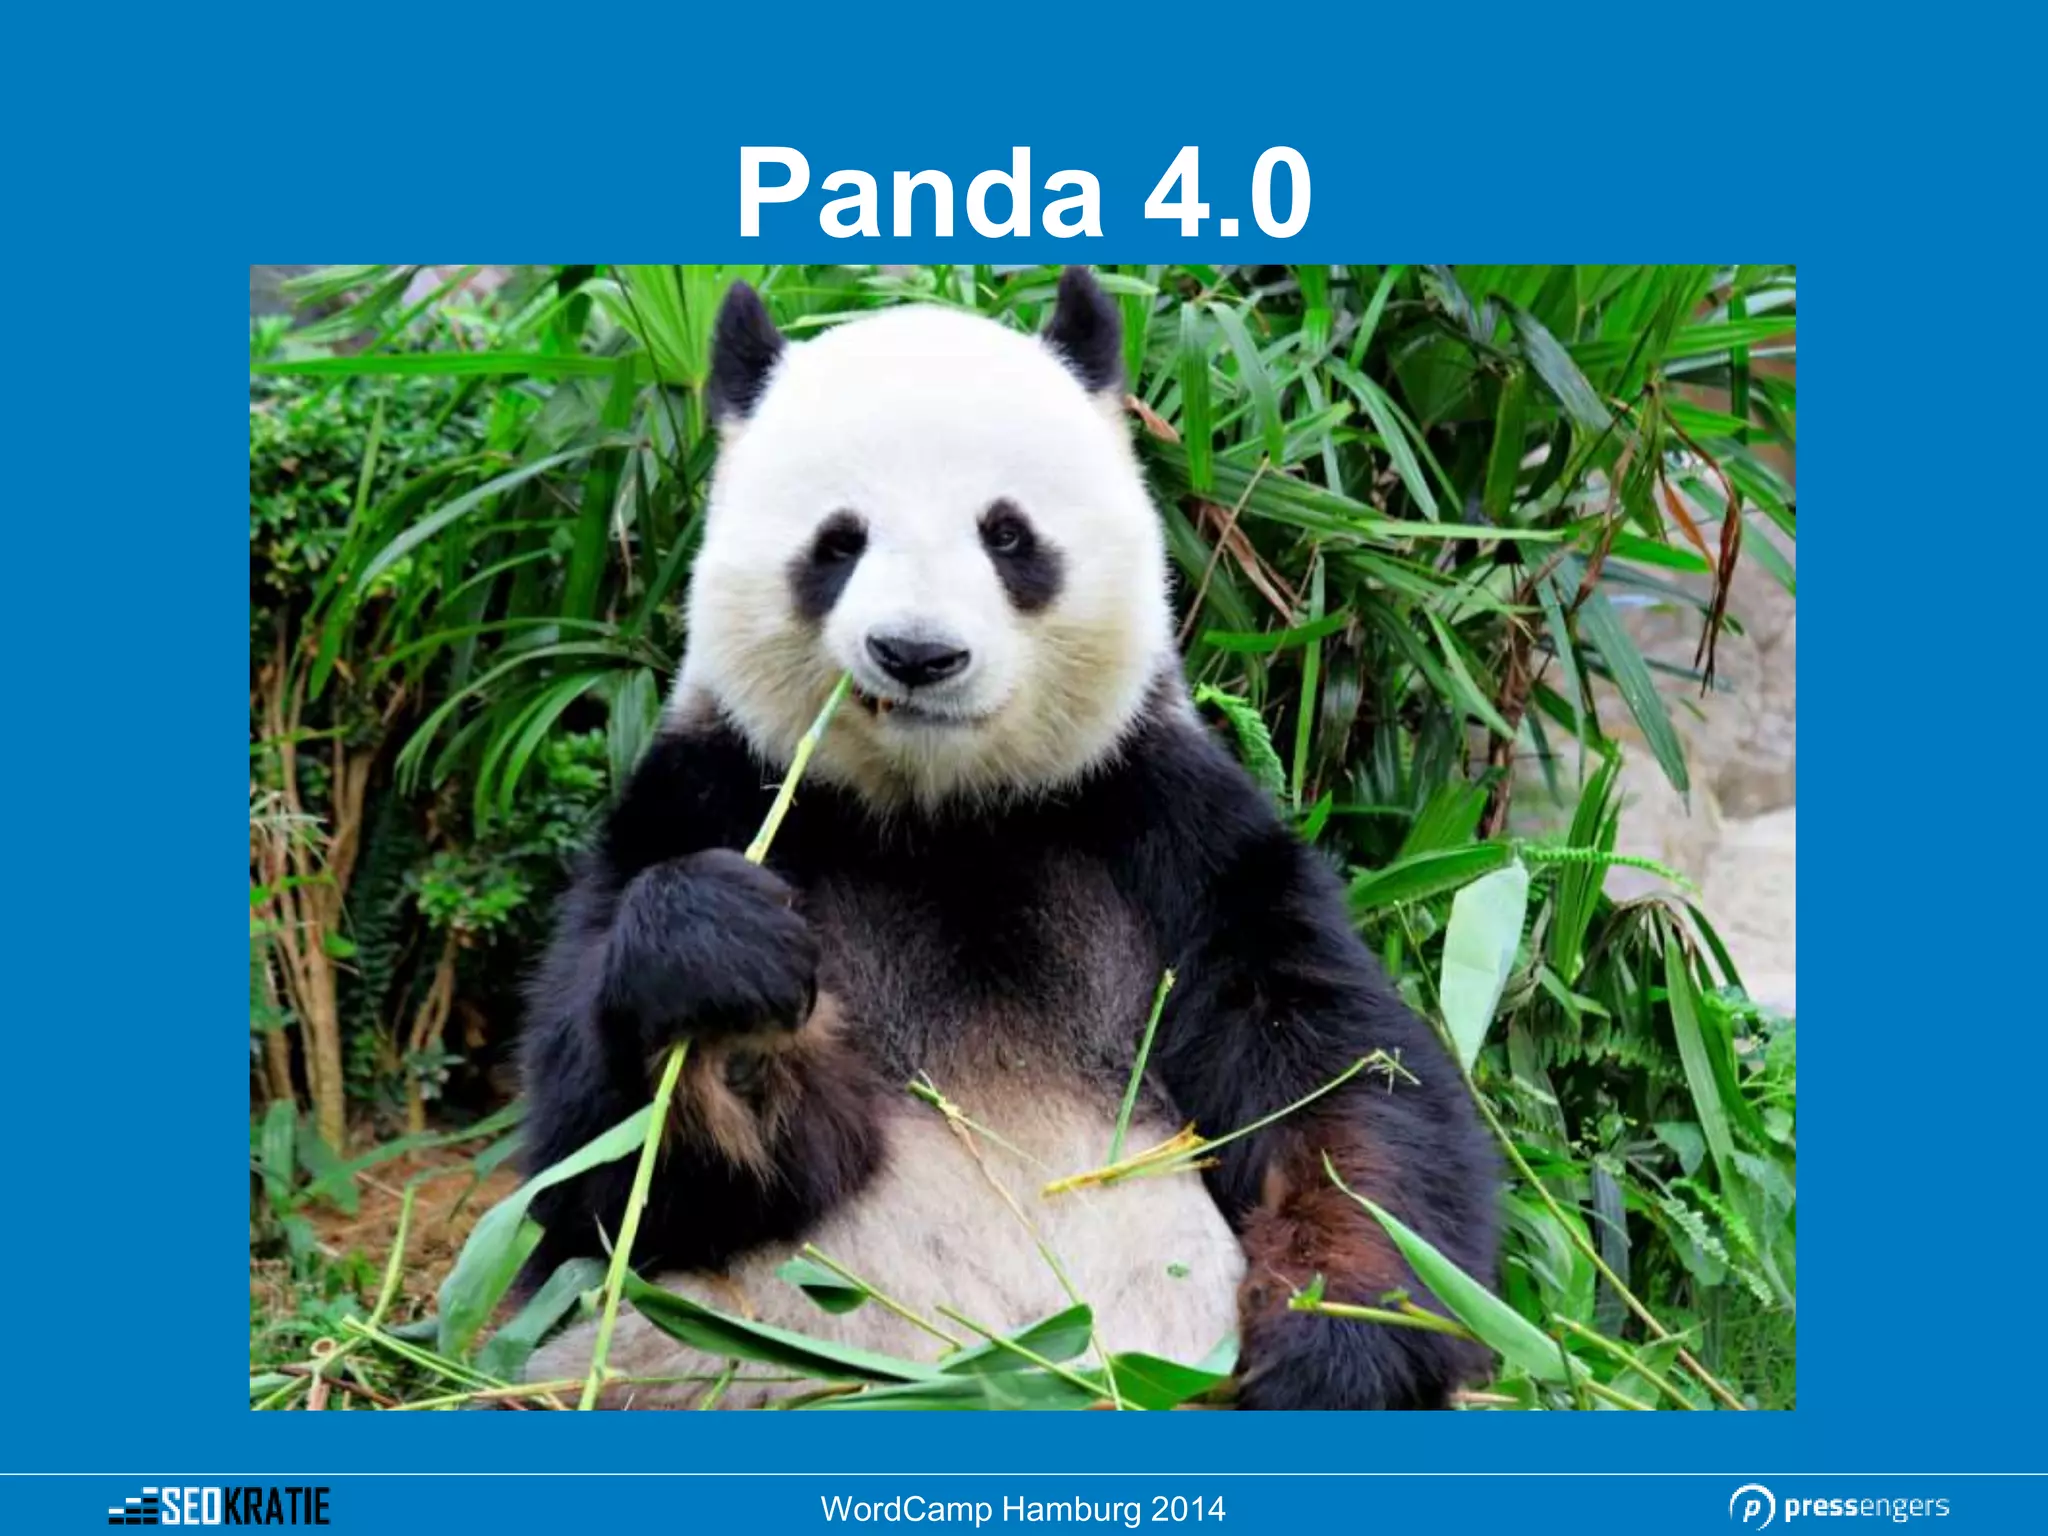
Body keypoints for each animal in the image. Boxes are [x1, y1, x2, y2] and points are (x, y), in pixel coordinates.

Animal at [518, 267, 1498, 1410]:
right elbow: (607, 1182)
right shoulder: (705, 795)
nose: (916, 654)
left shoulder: (1165, 827)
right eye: (838, 542)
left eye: (1008, 535)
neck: (942, 816)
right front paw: (723, 985)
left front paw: (1335, 1346)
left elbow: (1341, 1088)